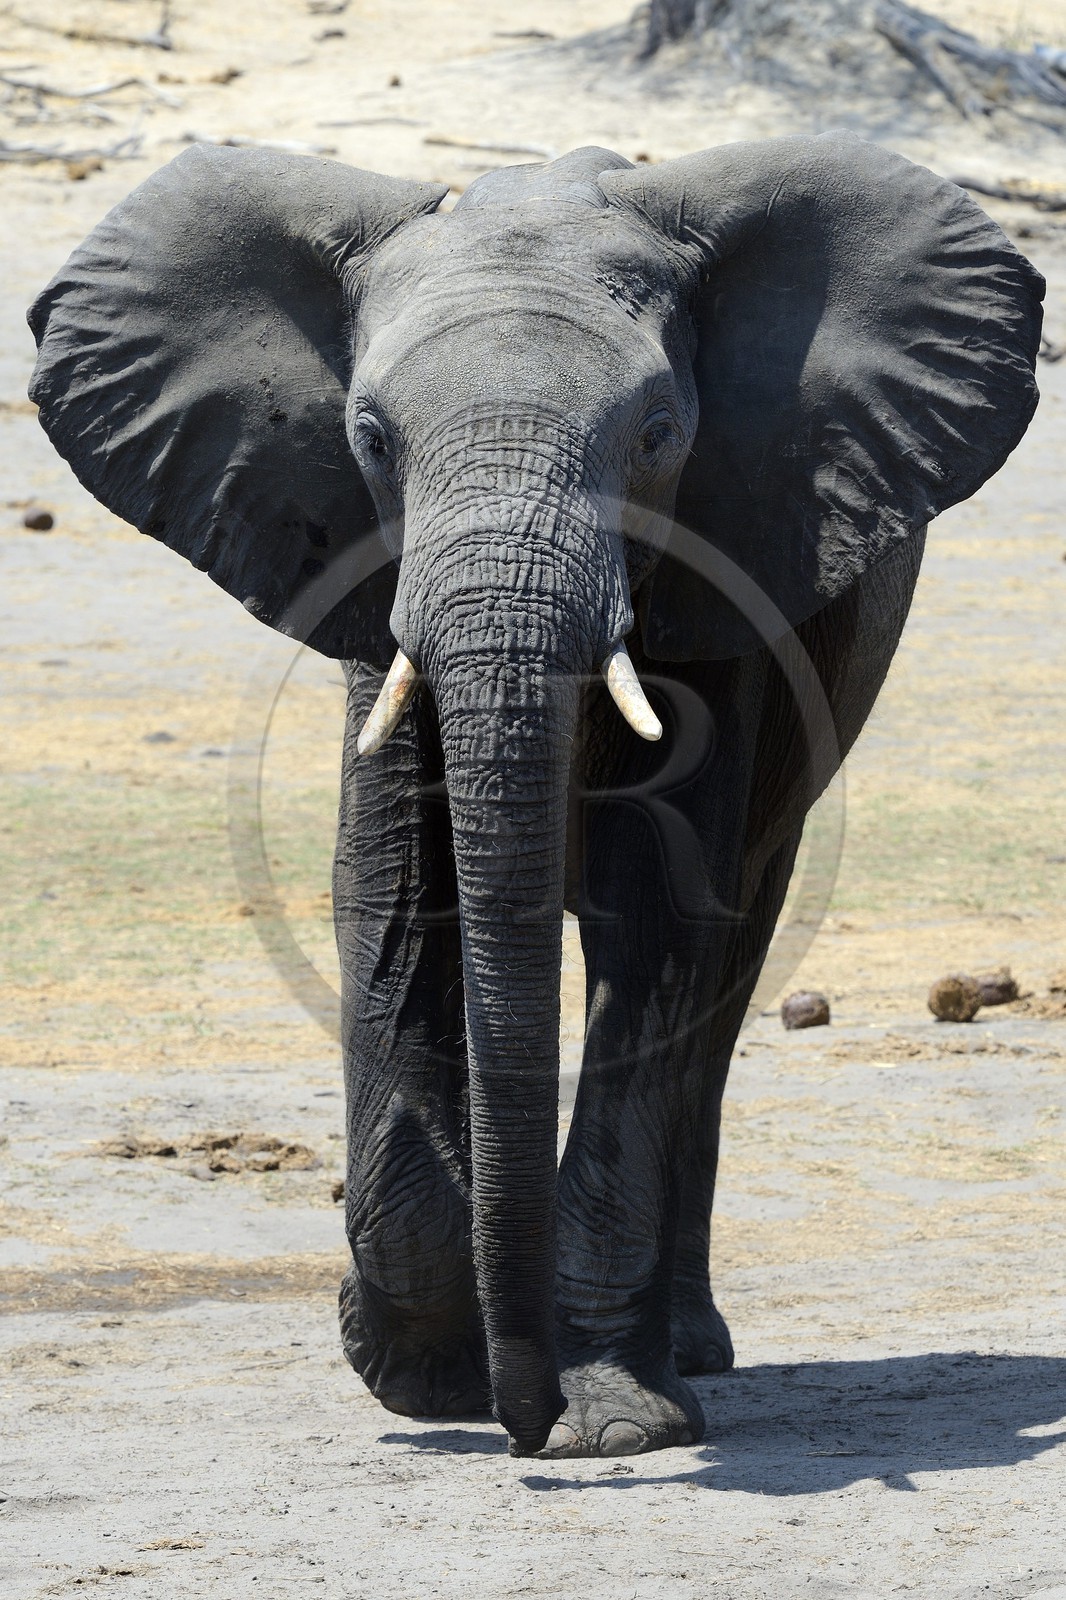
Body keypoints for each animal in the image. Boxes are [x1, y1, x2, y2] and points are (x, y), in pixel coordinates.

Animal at [28, 134, 1042, 1459]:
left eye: (658, 434)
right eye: (369, 438)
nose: (526, 1421)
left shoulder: (732, 570)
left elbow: (654, 910)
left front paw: (609, 1419)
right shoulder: (372, 592)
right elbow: (392, 896)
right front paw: (426, 1377)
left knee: (722, 979)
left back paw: (687, 1349)